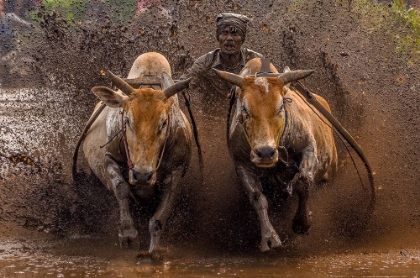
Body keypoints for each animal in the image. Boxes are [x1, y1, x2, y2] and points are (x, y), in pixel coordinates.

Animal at [80, 52, 192, 254]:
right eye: (128, 120)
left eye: (164, 122)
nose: (141, 175)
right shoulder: (108, 158)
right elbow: (121, 188)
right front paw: (128, 235)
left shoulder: (177, 171)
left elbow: (158, 220)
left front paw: (153, 251)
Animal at [215, 58, 336, 252]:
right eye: (245, 109)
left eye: (280, 107)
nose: (265, 152)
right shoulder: (242, 165)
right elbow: (257, 198)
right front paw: (269, 238)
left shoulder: (308, 148)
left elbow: (303, 182)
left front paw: (301, 223)